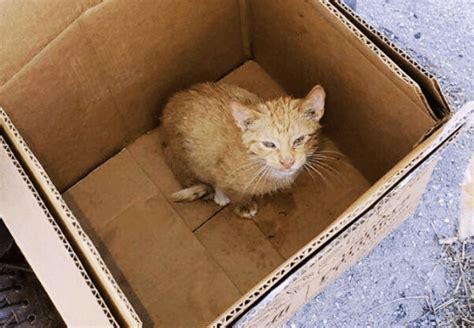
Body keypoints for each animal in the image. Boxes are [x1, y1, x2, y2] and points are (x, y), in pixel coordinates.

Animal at [161, 82, 324, 218]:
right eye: (269, 144)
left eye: (299, 140)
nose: (288, 163)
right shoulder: (217, 166)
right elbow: (232, 190)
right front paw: (243, 204)